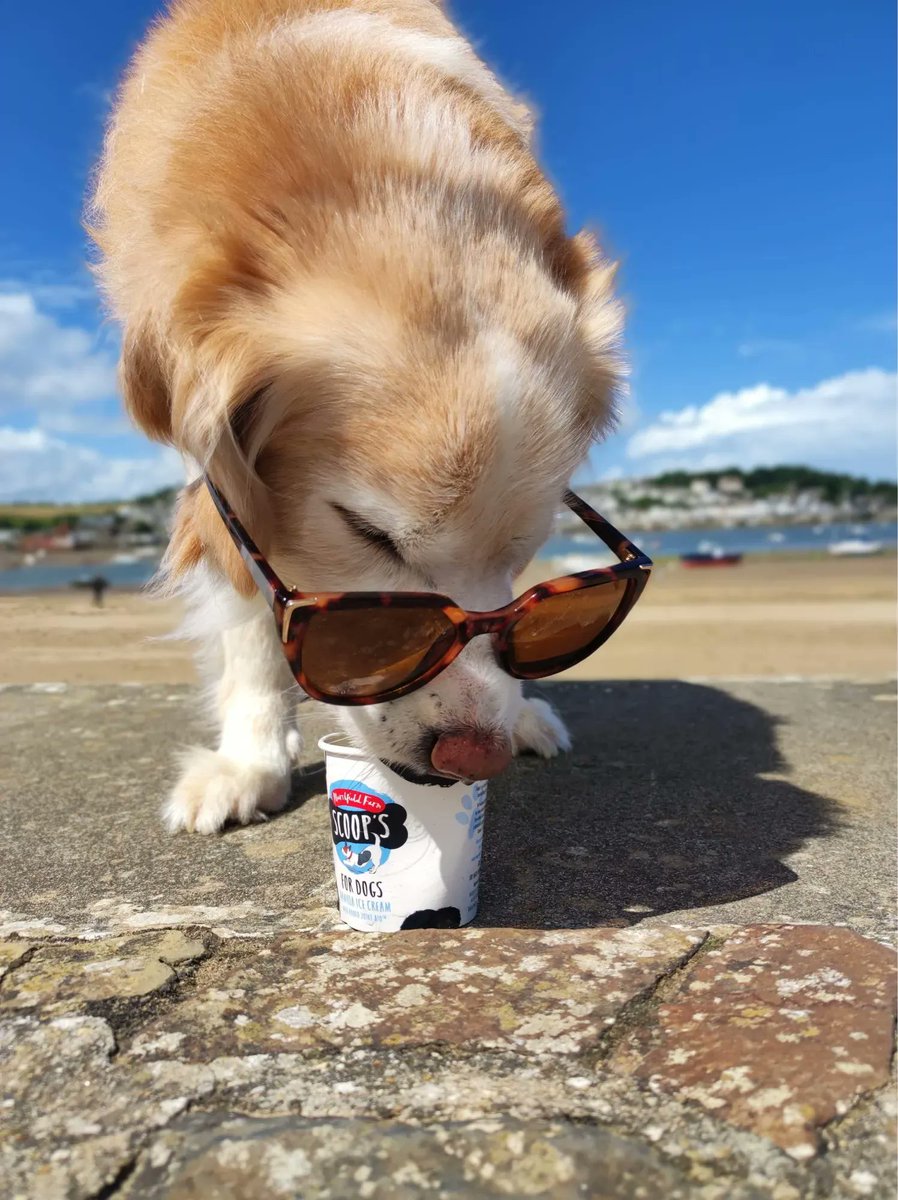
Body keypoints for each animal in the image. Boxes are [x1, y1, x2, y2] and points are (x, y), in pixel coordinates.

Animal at [89, 0, 624, 835]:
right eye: (369, 536)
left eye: (525, 549)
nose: (477, 756)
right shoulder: (215, 464)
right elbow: (249, 606)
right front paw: (250, 760)